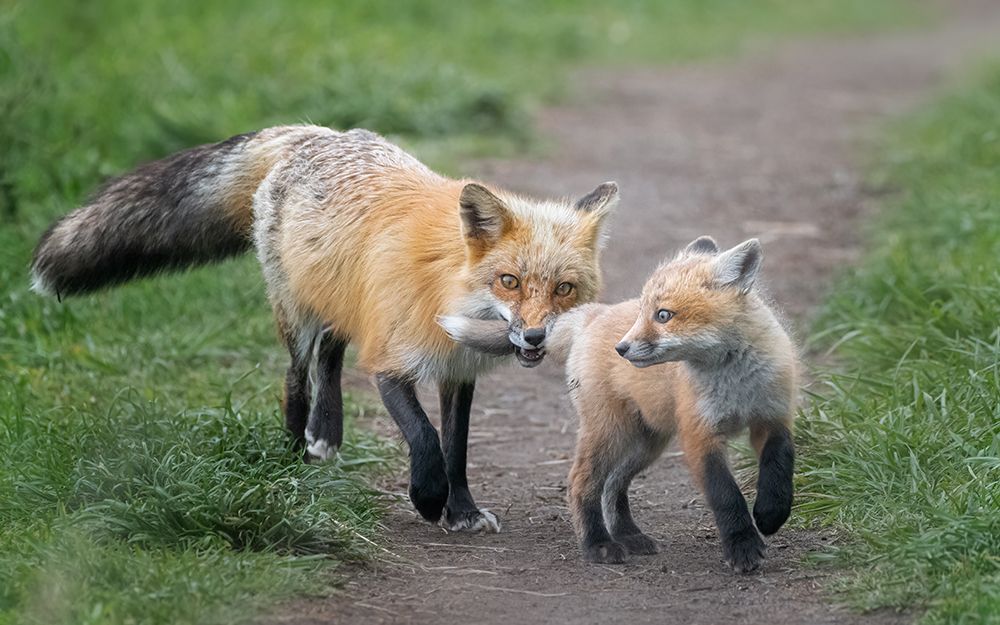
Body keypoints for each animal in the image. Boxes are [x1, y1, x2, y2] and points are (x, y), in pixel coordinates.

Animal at [30, 125, 619, 533]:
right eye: (509, 281)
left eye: (564, 289)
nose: (536, 338)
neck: (444, 283)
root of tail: (319, 133)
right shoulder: (389, 361)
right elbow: (425, 438)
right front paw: (428, 498)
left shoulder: (458, 373)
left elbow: (457, 449)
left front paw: (462, 511)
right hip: (295, 313)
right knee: (297, 377)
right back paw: (293, 454)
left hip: (339, 300)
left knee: (330, 355)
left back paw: (327, 431)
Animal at [440, 236, 798, 571]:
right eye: (643, 313)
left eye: (664, 315)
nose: (621, 349)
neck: (734, 382)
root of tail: (592, 313)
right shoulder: (699, 435)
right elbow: (726, 495)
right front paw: (742, 546)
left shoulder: (773, 416)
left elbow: (780, 466)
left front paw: (771, 514)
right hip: (609, 433)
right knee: (582, 482)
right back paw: (598, 543)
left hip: (645, 443)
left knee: (613, 485)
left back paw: (627, 534)